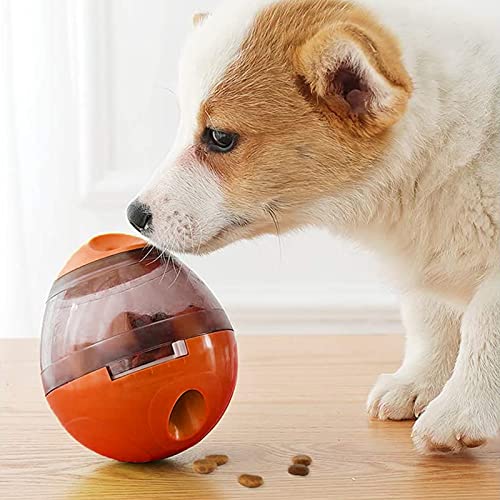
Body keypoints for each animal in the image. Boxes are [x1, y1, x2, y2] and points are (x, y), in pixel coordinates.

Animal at [128, 0, 500, 454]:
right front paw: (417, 383)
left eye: (219, 137)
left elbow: (483, 330)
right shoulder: (425, 261)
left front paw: (459, 410)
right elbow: (432, 321)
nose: (134, 215)